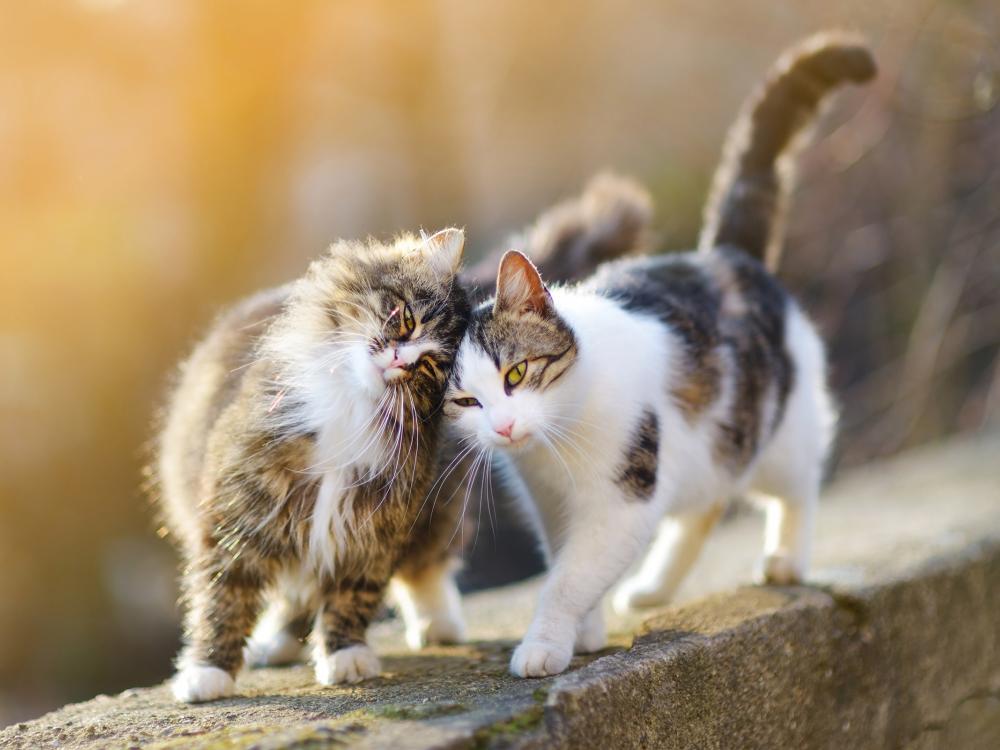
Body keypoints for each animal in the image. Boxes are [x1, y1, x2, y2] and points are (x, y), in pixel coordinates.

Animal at [446, 33, 876, 680]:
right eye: (465, 401)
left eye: (516, 373)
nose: (502, 426)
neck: (558, 445)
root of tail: (724, 255)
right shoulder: (552, 506)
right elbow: (567, 564)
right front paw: (586, 632)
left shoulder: (623, 501)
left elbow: (568, 579)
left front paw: (545, 644)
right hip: (708, 448)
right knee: (705, 504)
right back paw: (653, 588)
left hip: (780, 431)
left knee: (798, 486)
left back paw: (785, 557)